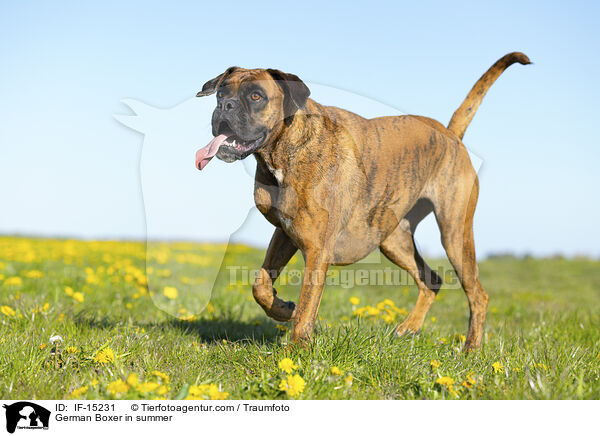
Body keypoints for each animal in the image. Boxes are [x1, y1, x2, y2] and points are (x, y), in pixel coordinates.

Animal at [195, 52, 528, 350]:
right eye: (221, 92)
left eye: (256, 96)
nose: (224, 105)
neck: (284, 149)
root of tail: (449, 134)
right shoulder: (285, 233)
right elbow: (261, 285)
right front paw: (283, 308)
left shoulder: (317, 250)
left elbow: (306, 309)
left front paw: (296, 351)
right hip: (393, 240)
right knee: (431, 280)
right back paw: (409, 328)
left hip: (454, 235)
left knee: (477, 295)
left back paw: (471, 348)